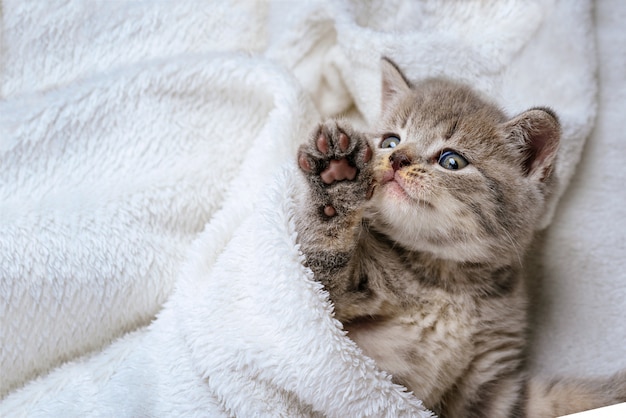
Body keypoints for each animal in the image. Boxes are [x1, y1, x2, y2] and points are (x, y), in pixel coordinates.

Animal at [294, 59, 624, 418]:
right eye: (390, 141)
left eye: (452, 161)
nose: (397, 158)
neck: (446, 281)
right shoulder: (329, 311)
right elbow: (320, 260)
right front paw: (336, 178)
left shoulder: (490, 390)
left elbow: (561, 399)